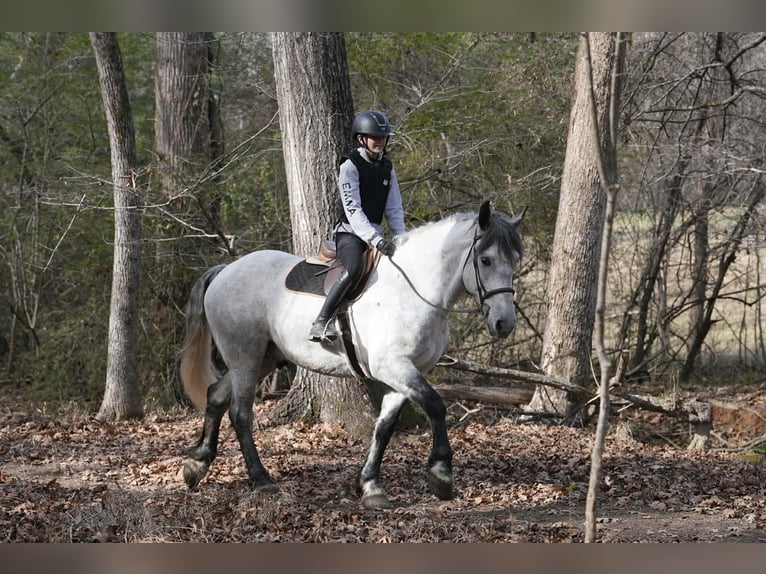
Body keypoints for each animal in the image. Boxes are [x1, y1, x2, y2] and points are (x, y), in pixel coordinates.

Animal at [179, 200, 524, 509]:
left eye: (515, 261)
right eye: (486, 260)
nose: (504, 324)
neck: (414, 291)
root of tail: (226, 270)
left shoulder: (408, 372)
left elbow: (384, 427)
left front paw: (370, 486)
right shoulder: (393, 366)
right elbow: (436, 405)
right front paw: (441, 475)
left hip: (264, 357)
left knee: (216, 396)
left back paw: (197, 465)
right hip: (245, 356)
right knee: (240, 412)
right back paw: (261, 478)